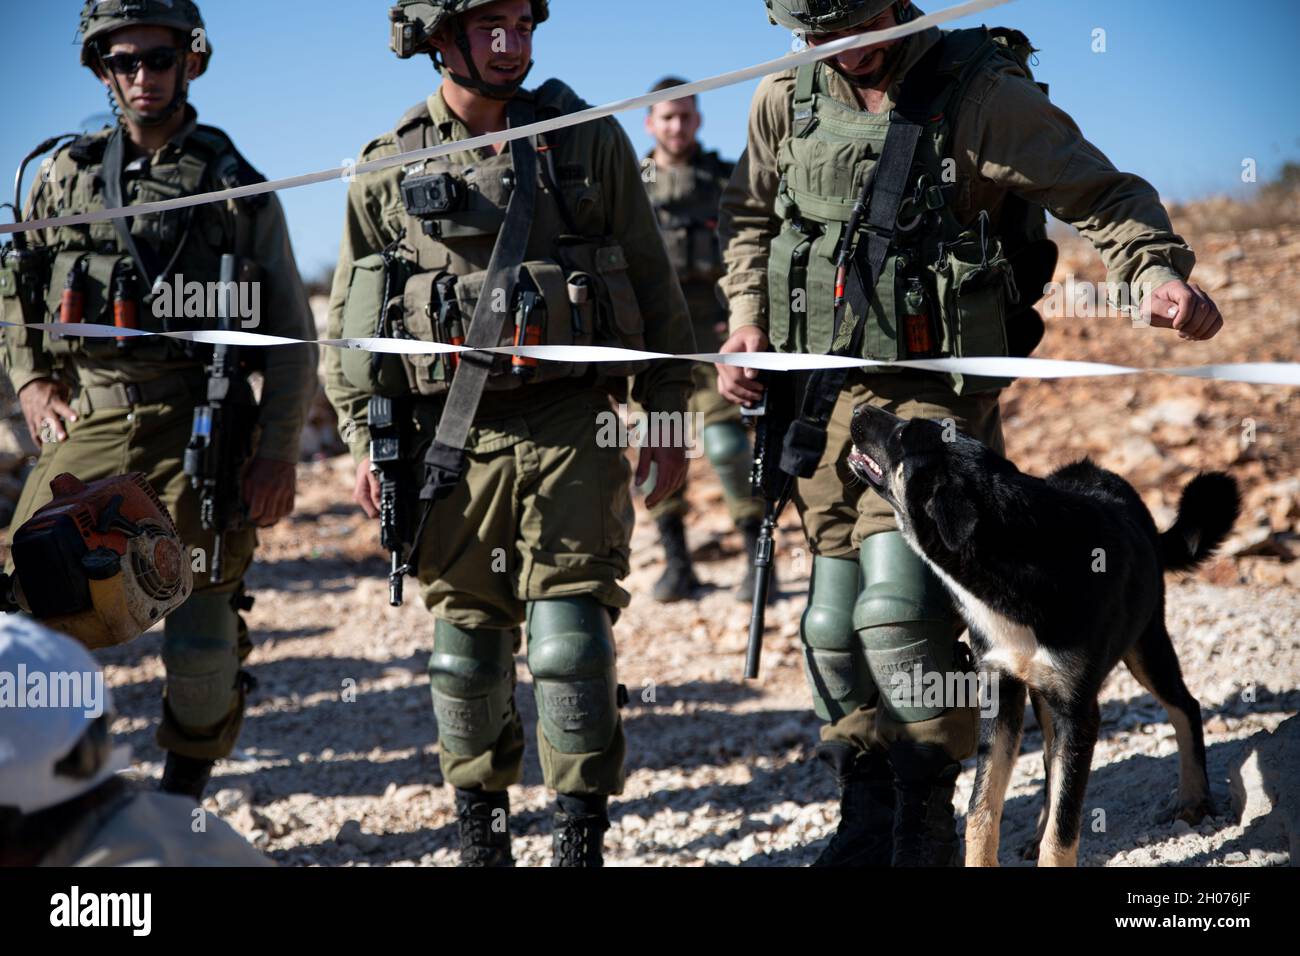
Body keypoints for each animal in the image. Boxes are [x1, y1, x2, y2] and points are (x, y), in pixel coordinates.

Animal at [842, 403, 1237, 868]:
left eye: (903, 436)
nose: (858, 408)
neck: (1011, 563)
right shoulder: (1001, 696)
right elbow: (981, 809)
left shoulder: (1079, 711)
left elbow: (1064, 828)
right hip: (1045, 694)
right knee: (1051, 758)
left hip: (1145, 646)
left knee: (1185, 707)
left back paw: (1193, 798)